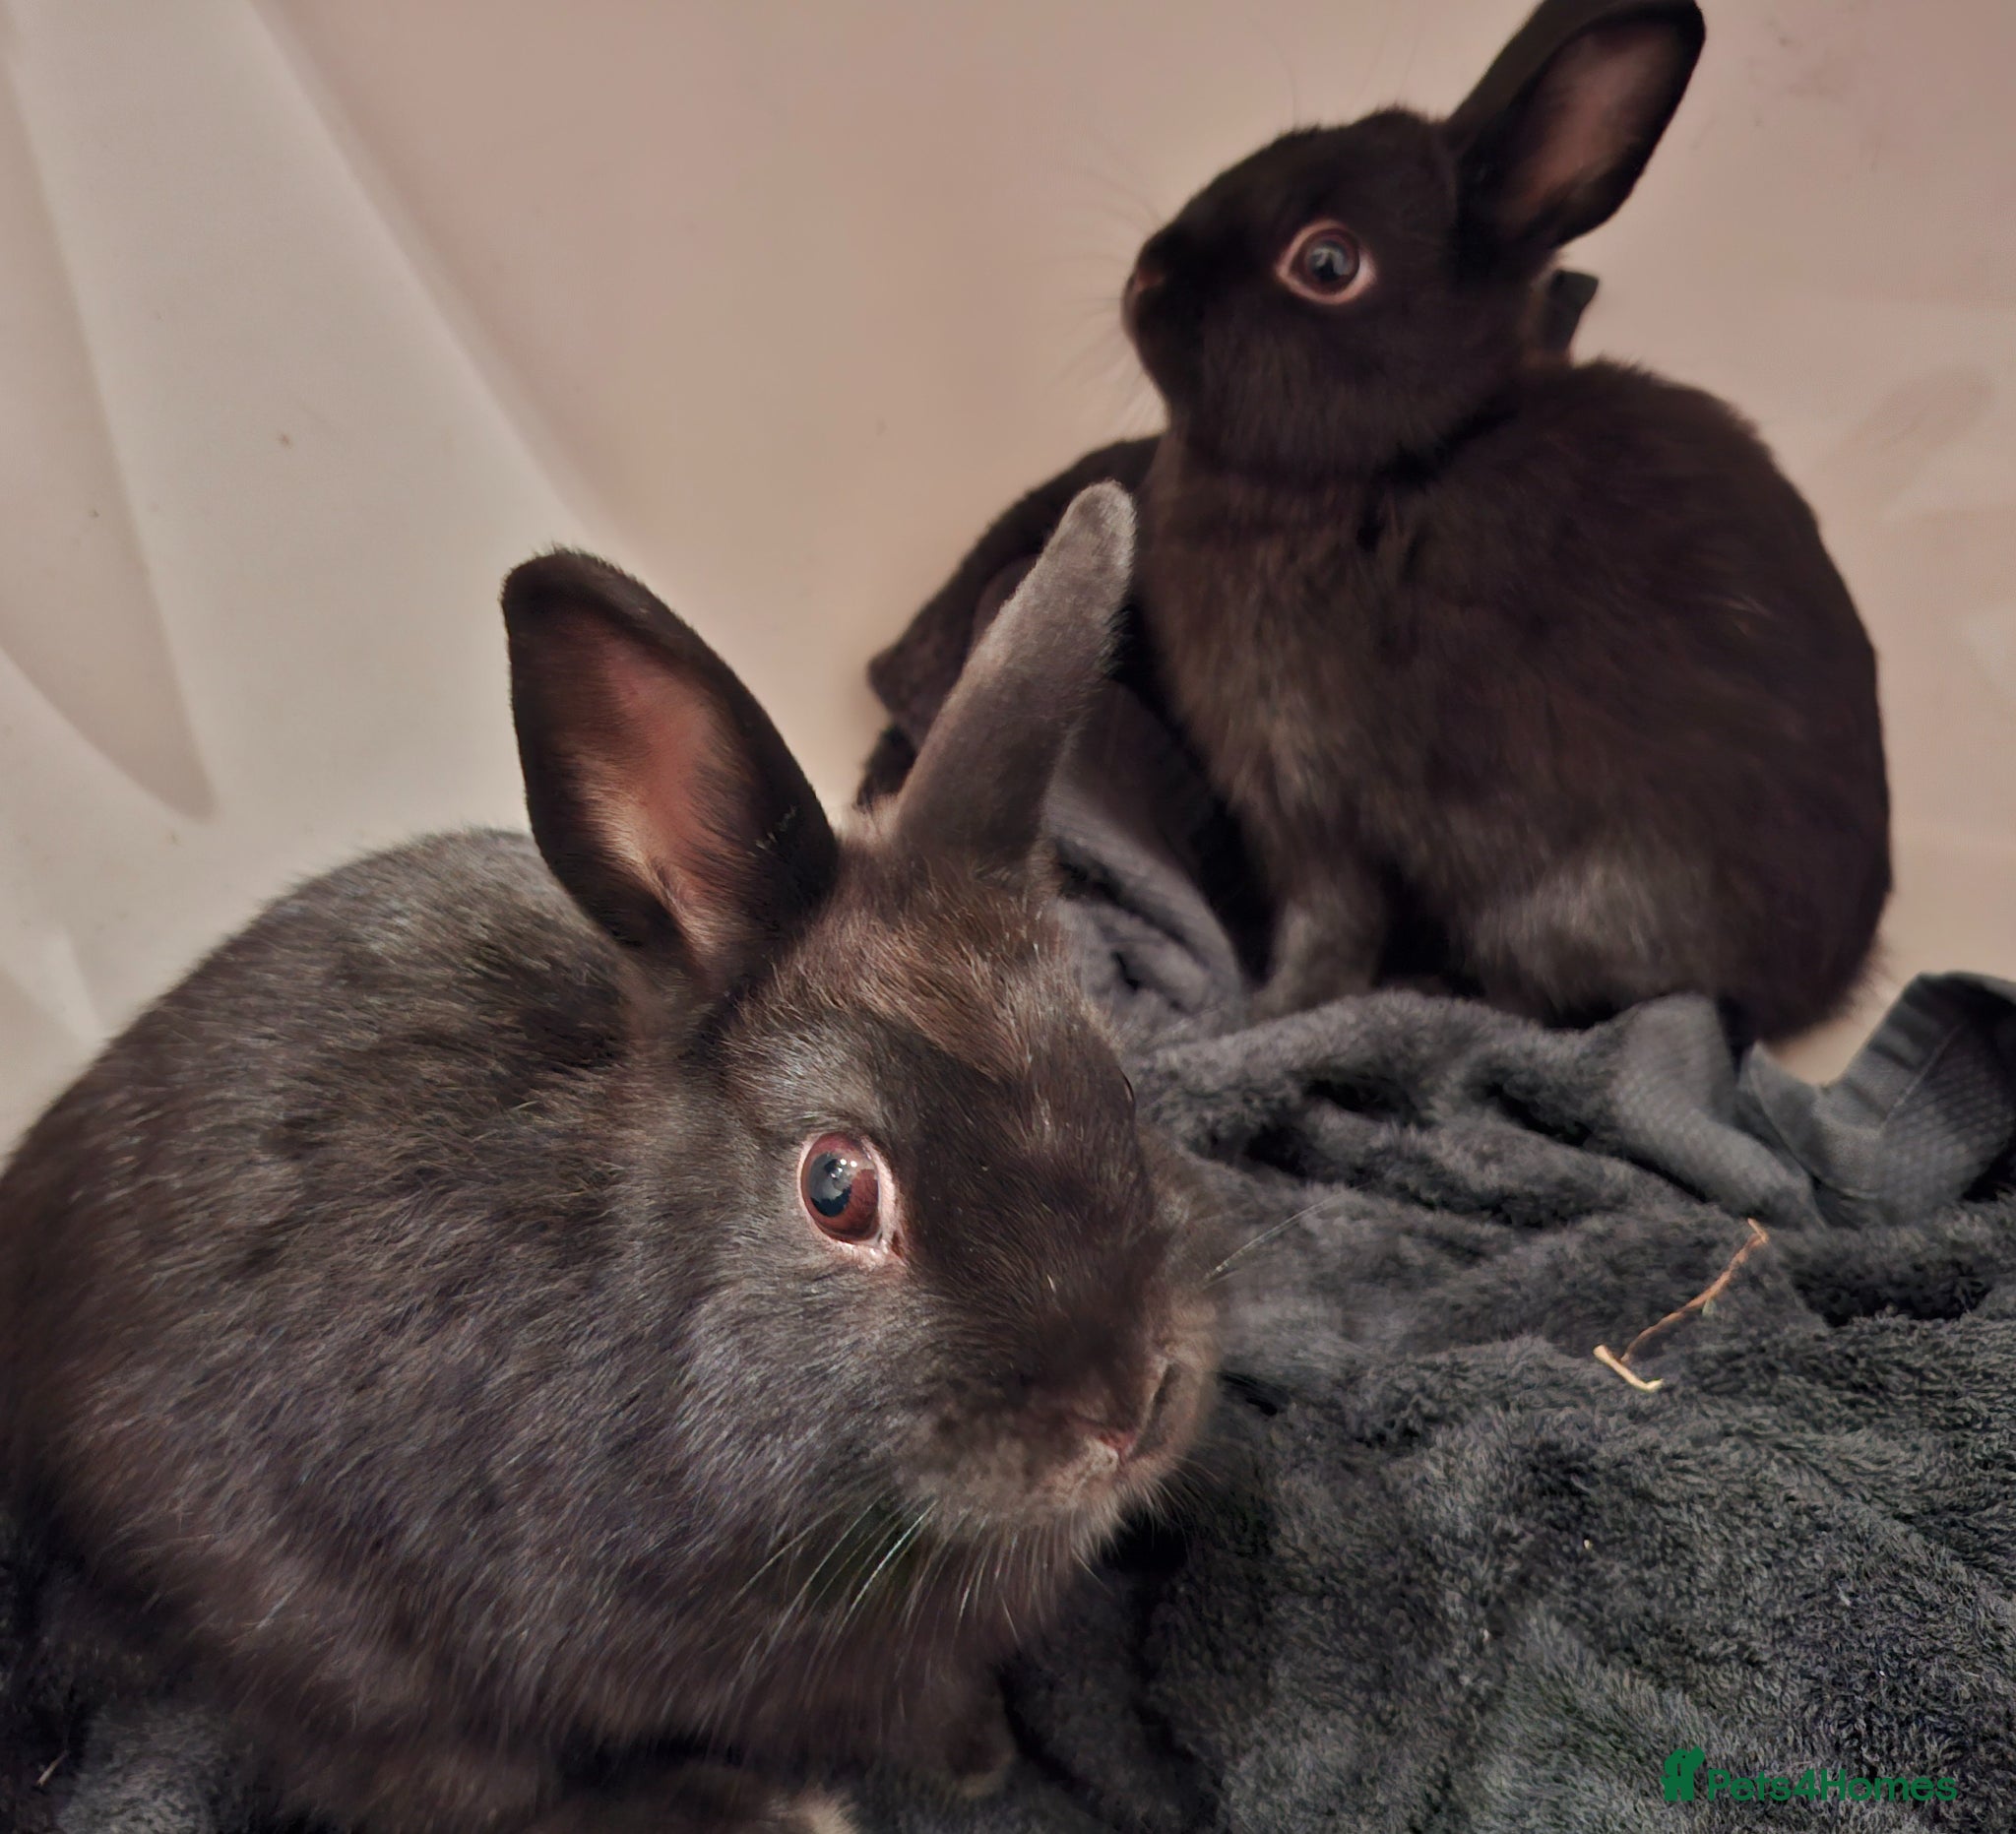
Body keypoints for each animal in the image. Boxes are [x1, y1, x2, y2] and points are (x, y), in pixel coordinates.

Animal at [0, 483, 1219, 1834]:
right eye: (836, 1188)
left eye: (1112, 1079)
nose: (1124, 1407)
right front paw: (969, 1762)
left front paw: (980, 1746)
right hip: (340, 1662)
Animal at [864, 0, 1890, 1045]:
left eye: (1327, 264)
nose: (1145, 278)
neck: (1378, 464)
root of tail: (1829, 975)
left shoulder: (1307, 789)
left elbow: (1328, 929)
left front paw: (1255, 1019)